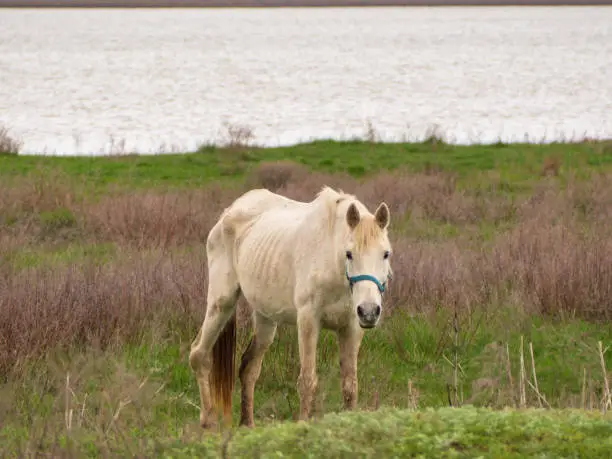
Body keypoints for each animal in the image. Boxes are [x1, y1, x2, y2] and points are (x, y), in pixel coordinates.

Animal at [189, 185, 394, 430]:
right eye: (349, 254)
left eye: (385, 254)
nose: (370, 311)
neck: (332, 262)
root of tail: (228, 212)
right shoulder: (308, 320)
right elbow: (307, 381)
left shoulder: (352, 327)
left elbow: (349, 385)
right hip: (222, 302)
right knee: (199, 354)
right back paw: (208, 421)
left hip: (265, 317)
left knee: (249, 368)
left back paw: (247, 425)